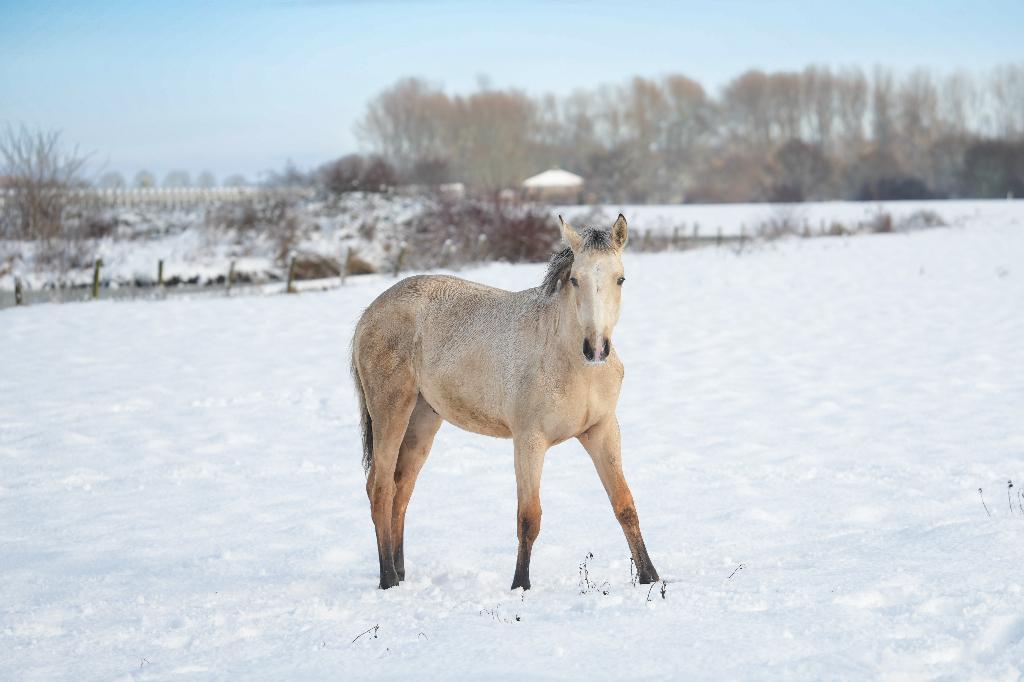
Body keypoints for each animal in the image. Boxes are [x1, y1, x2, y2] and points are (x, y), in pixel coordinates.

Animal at [351, 213, 659, 590]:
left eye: (620, 278)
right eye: (575, 279)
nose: (597, 349)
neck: (569, 362)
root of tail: (369, 313)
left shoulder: (601, 432)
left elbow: (624, 505)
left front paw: (650, 577)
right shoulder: (529, 441)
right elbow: (529, 517)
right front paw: (520, 586)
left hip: (422, 420)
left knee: (400, 491)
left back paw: (400, 572)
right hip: (391, 411)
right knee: (380, 489)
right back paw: (388, 579)